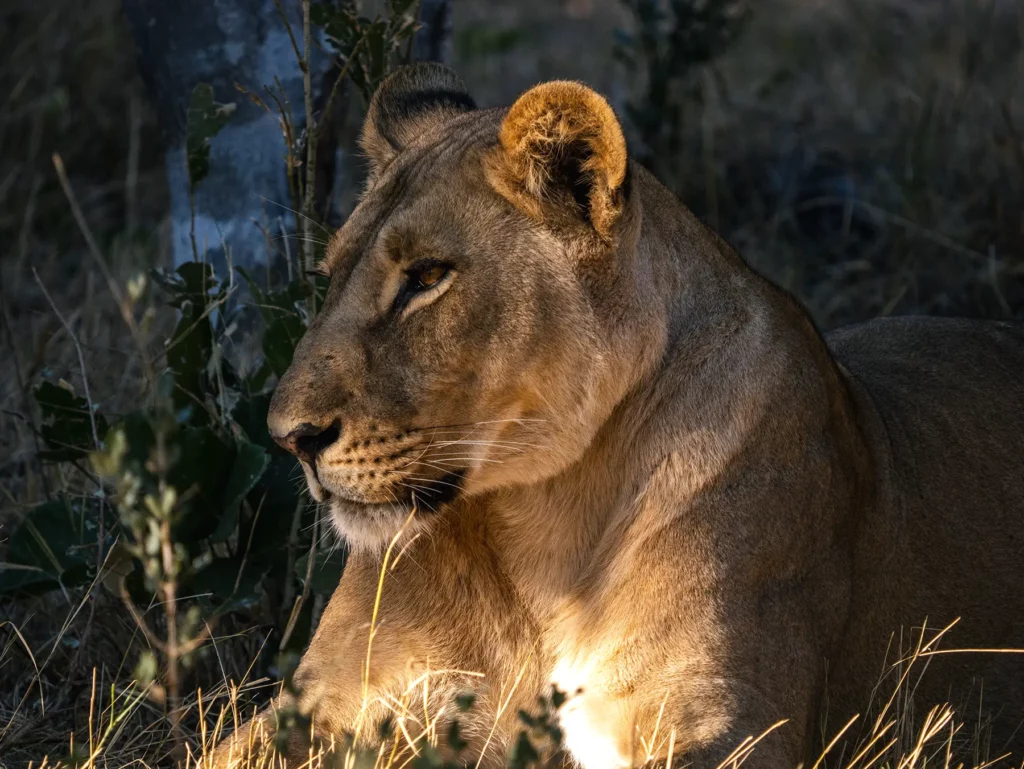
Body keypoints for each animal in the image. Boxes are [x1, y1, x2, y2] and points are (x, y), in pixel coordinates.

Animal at [211, 63, 1024, 768]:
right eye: (331, 276)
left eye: (428, 277)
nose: (290, 438)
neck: (535, 530)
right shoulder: (318, 706)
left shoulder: (721, 722)